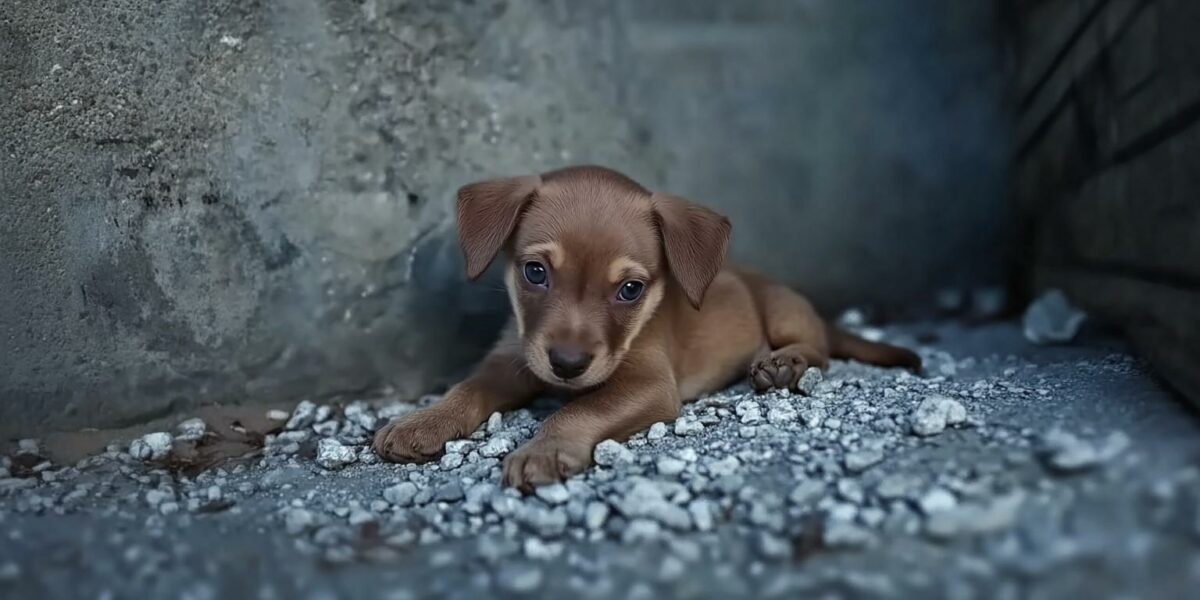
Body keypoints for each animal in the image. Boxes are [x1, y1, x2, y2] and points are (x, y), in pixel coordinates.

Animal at [374, 166, 916, 489]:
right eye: (535, 272)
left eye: (630, 289)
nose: (567, 365)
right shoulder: (513, 359)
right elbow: (467, 389)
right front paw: (421, 421)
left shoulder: (648, 384)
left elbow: (578, 411)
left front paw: (545, 448)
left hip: (783, 308)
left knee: (818, 348)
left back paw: (785, 363)